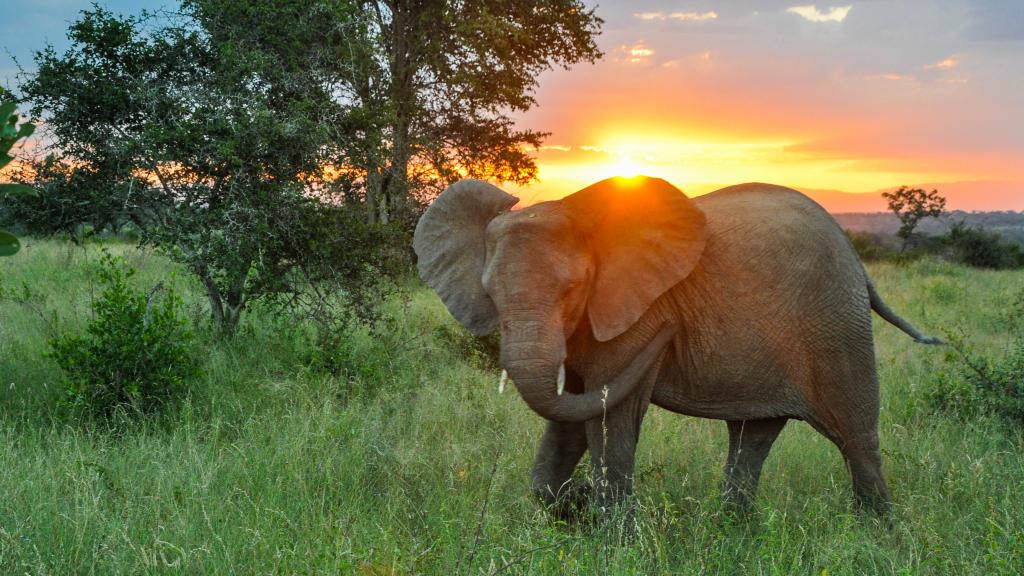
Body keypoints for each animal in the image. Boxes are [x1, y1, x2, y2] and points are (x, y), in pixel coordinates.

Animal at [413, 176, 939, 517]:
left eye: (572, 290)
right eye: (490, 294)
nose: (581, 499)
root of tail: (857, 261)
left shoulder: (635, 312)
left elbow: (608, 412)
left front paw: (611, 537)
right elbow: (573, 410)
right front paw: (575, 506)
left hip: (837, 323)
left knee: (856, 438)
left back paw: (877, 536)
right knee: (753, 436)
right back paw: (732, 533)